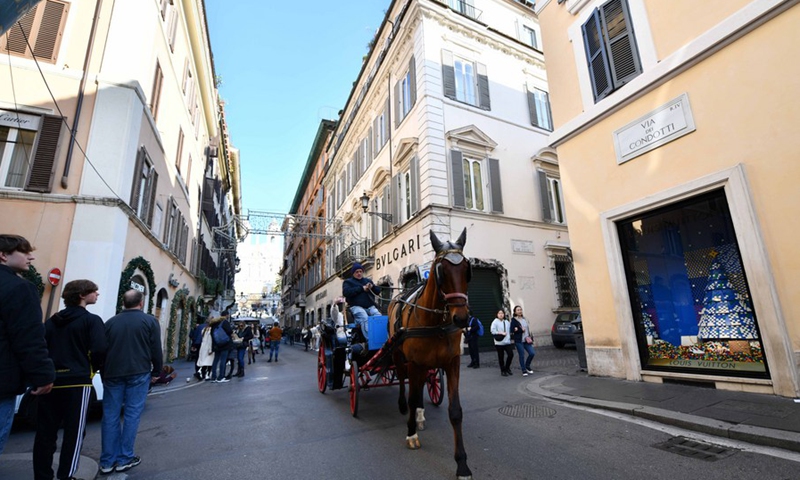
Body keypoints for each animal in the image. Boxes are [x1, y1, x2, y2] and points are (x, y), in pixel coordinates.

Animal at [390, 229, 472, 480]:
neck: (435, 320)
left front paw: (462, 464)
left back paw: (419, 415)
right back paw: (405, 408)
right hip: (399, 356)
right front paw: (411, 434)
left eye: (467, 269)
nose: (461, 318)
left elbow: (455, 411)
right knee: (403, 382)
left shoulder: (452, 362)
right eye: (441, 271)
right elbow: (412, 394)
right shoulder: (414, 362)